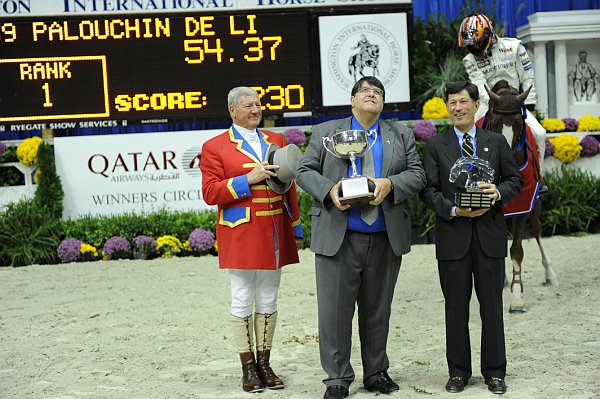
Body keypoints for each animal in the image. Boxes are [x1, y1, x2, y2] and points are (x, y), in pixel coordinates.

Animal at [480, 79, 560, 314]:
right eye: (495, 122)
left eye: (518, 123)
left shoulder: (523, 206)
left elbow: (516, 249)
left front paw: (517, 298)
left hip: (536, 204)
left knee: (537, 230)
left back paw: (550, 275)